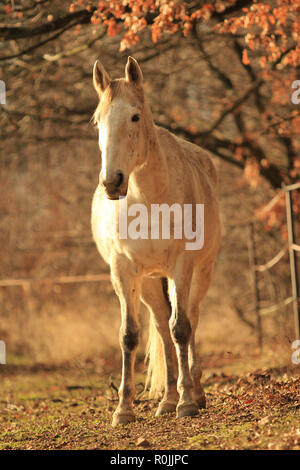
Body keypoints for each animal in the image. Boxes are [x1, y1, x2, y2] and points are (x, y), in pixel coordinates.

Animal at [91, 56, 220, 426]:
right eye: (97, 122)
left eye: (135, 116)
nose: (112, 181)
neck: (147, 202)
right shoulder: (123, 272)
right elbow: (129, 334)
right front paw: (123, 410)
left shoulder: (181, 265)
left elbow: (182, 329)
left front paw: (187, 403)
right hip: (149, 283)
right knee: (162, 326)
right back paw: (167, 399)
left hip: (200, 272)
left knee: (189, 320)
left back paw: (194, 393)